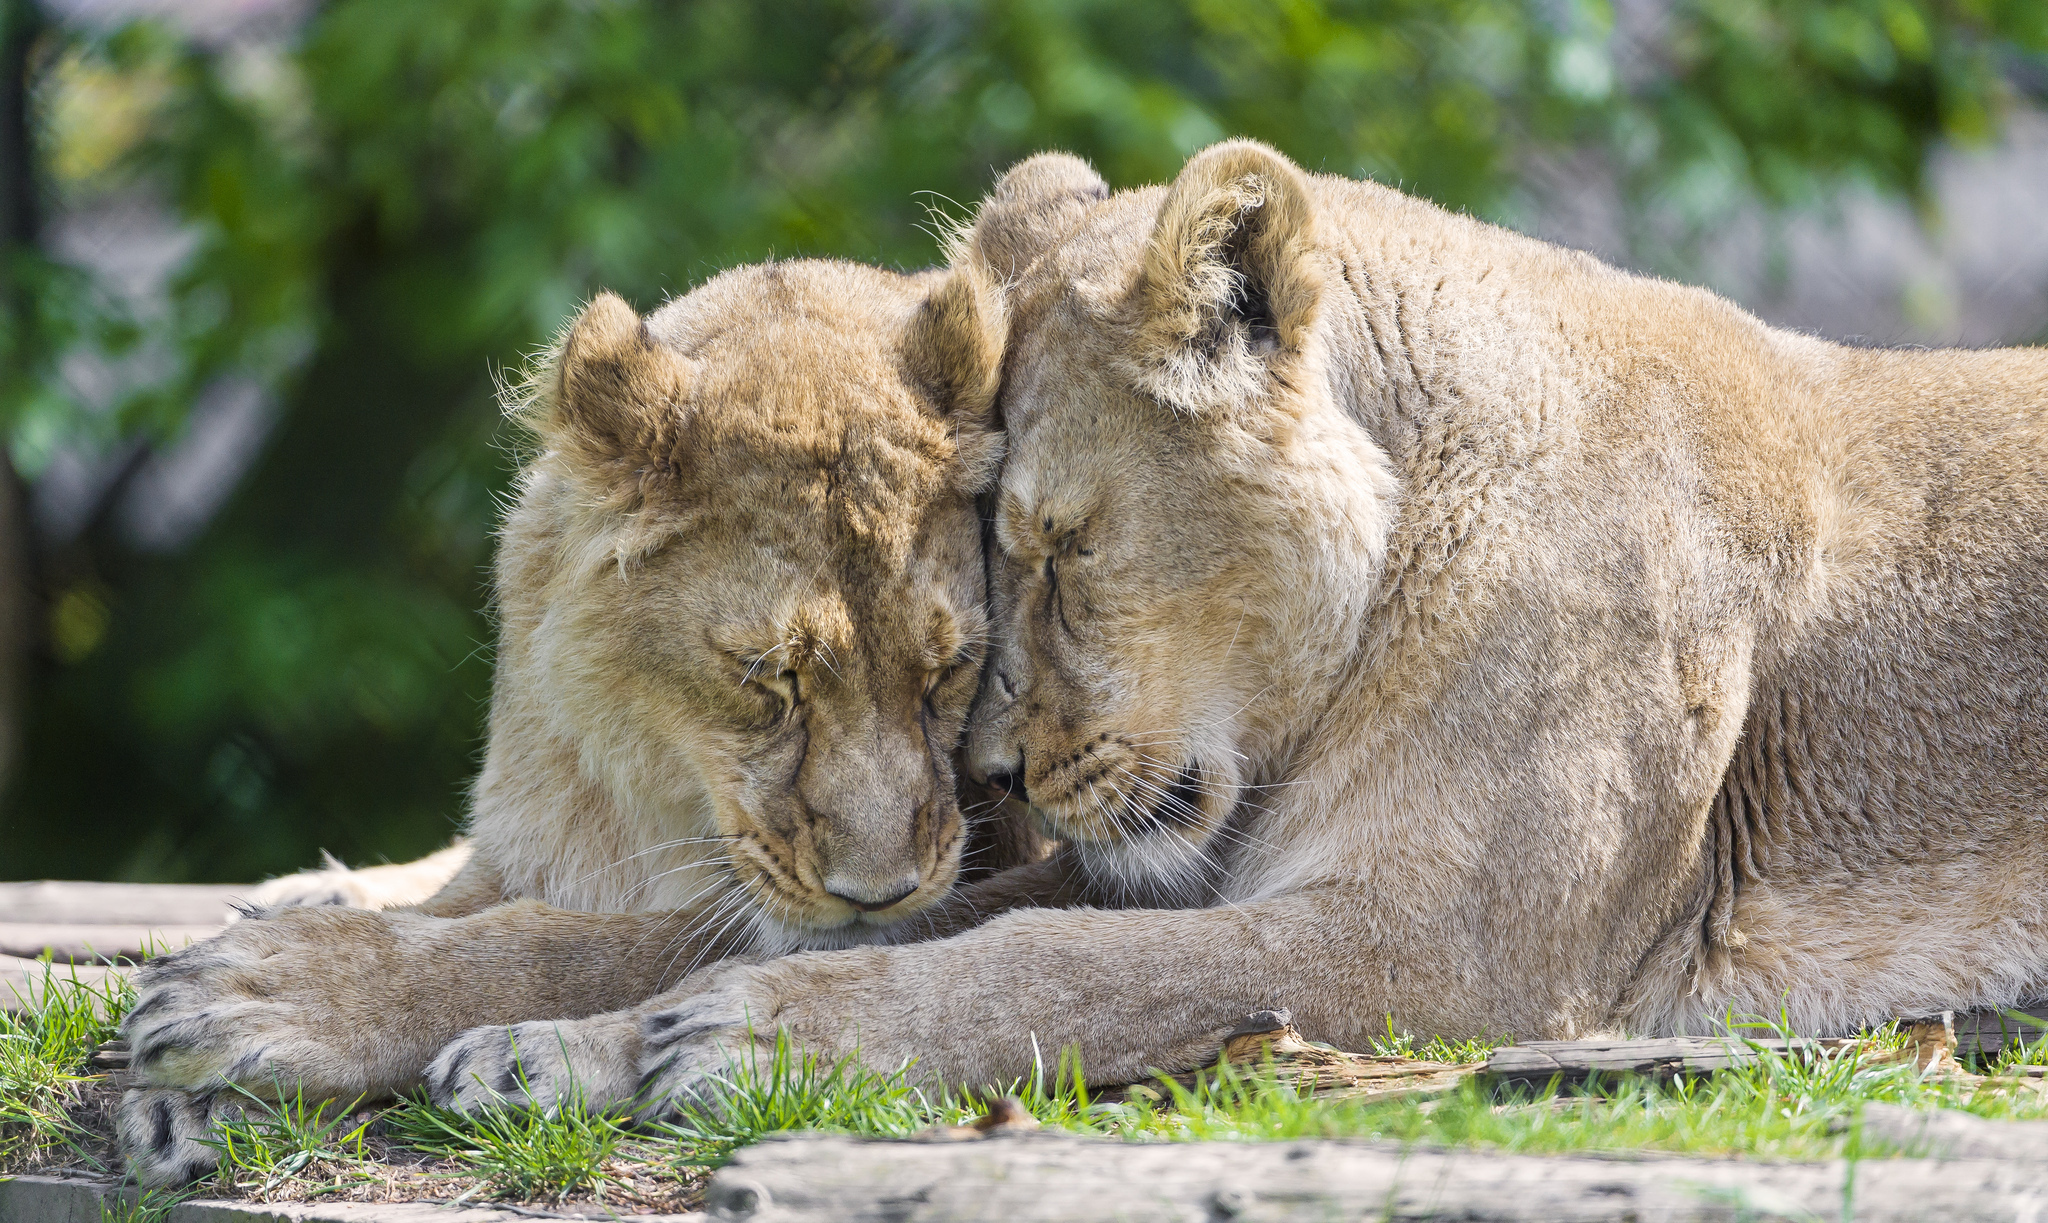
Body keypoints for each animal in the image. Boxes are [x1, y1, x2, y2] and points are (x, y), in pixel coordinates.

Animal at [105, 260, 1024, 1179]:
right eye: (768, 675)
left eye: (947, 671)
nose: (879, 896)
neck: (659, 790)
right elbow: (467, 910)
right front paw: (196, 1091)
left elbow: (565, 947)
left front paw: (282, 996)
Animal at [387, 140, 2048, 1106]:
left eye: (1055, 553)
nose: (986, 780)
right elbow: (856, 924)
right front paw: (563, 1041)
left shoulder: (1449, 947)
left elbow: (1049, 968)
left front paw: (755, 1034)